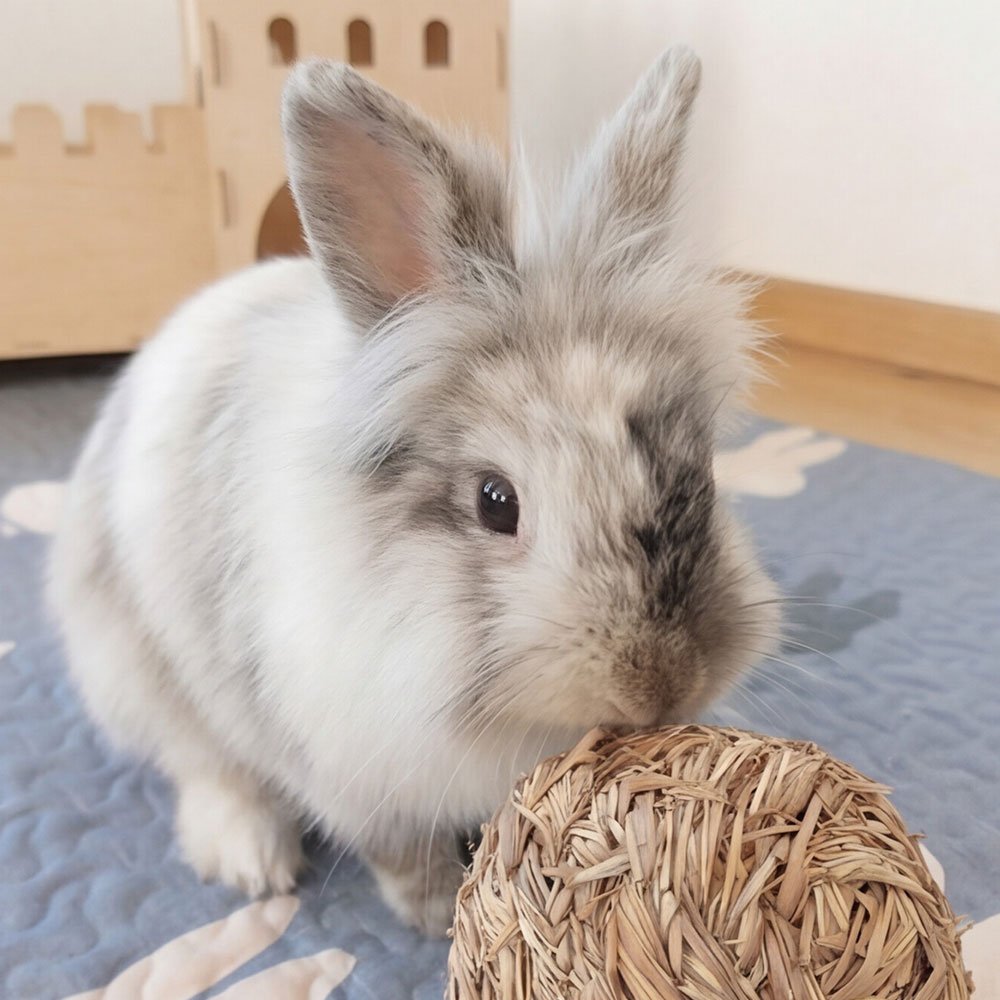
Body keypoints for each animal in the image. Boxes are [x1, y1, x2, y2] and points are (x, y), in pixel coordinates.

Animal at [48, 47, 779, 936]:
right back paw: (253, 859)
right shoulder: (351, 762)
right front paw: (435, 913)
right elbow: (396, 849)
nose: (661, 684)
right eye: (496, 502)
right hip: (137, 672)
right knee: (204, 765)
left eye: (701, 469)